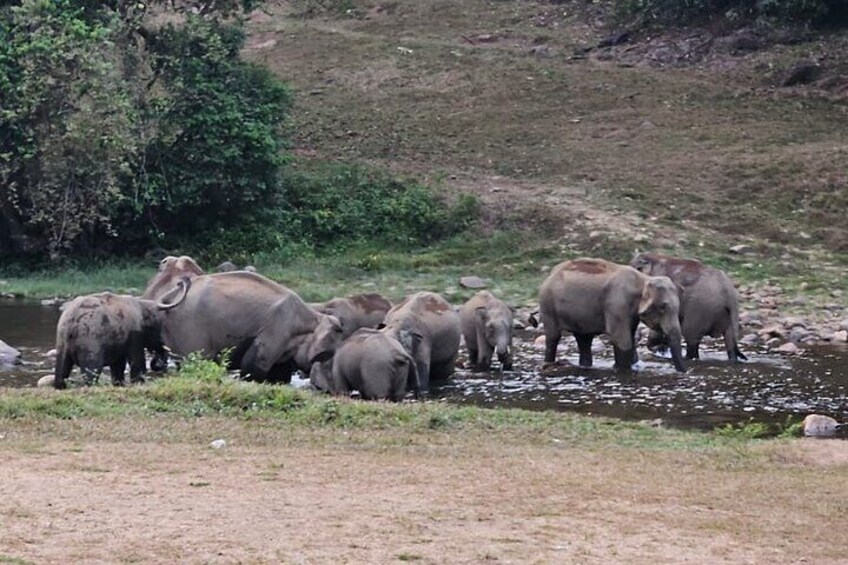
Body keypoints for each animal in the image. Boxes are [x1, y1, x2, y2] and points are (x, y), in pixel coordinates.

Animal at [156, 270, 344, 382]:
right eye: (326, 356)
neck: (312, 315)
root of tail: (170, 295)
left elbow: (279, 373)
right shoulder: (277, 327)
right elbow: (252, 367)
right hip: (190, 327)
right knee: (198, 360)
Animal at [532, 258, 684, 372]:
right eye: (663, 307)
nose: (682, 372)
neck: (643, 279)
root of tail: (551, 273)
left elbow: (631, 334)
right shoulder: (617, 303)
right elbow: (621, 338)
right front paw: (622, 370)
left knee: (584, 340)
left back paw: (585, 366)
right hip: (547, 304)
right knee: (553, 337)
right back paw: (549, 364)